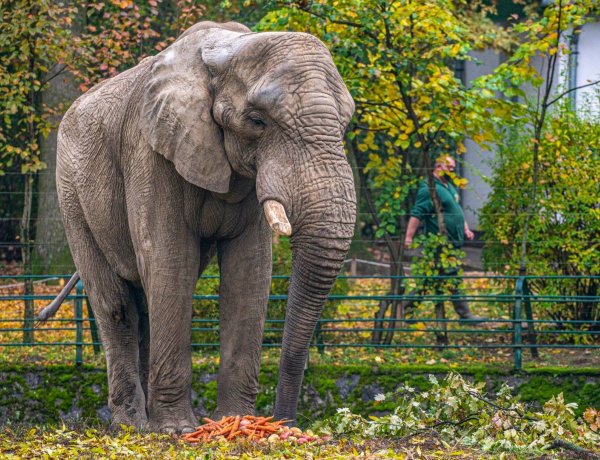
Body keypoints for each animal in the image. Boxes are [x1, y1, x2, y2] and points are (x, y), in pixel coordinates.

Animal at [52, 19, 356, 434]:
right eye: (257, 121)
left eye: (345, 124)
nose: (286, 424)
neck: (226, 48)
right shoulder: (149, 150)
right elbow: (170, 260)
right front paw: (179, 431)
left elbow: (250, 271)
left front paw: (236, 422)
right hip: (70, 192)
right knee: (117, 305)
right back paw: (133, 427)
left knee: (145, 302)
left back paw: (145, 424)